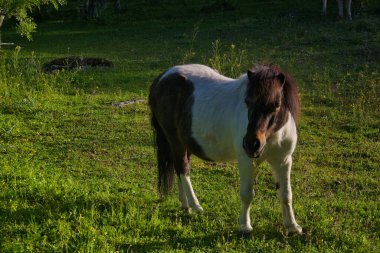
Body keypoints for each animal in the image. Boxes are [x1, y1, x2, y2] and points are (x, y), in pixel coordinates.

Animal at [148, 63, 302, 235]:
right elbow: (247, 194)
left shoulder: (283, 161)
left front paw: (292, 226)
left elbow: (286, 194)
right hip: (175, 141)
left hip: (184, 143)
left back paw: (185, 205)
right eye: (247, 101)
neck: (274, 134)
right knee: (183, 169)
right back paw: (195, 205)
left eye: (276, 105)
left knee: (178, 168)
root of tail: (162, 78)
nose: (251, 144)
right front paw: (245, 226)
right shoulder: (246, 161)